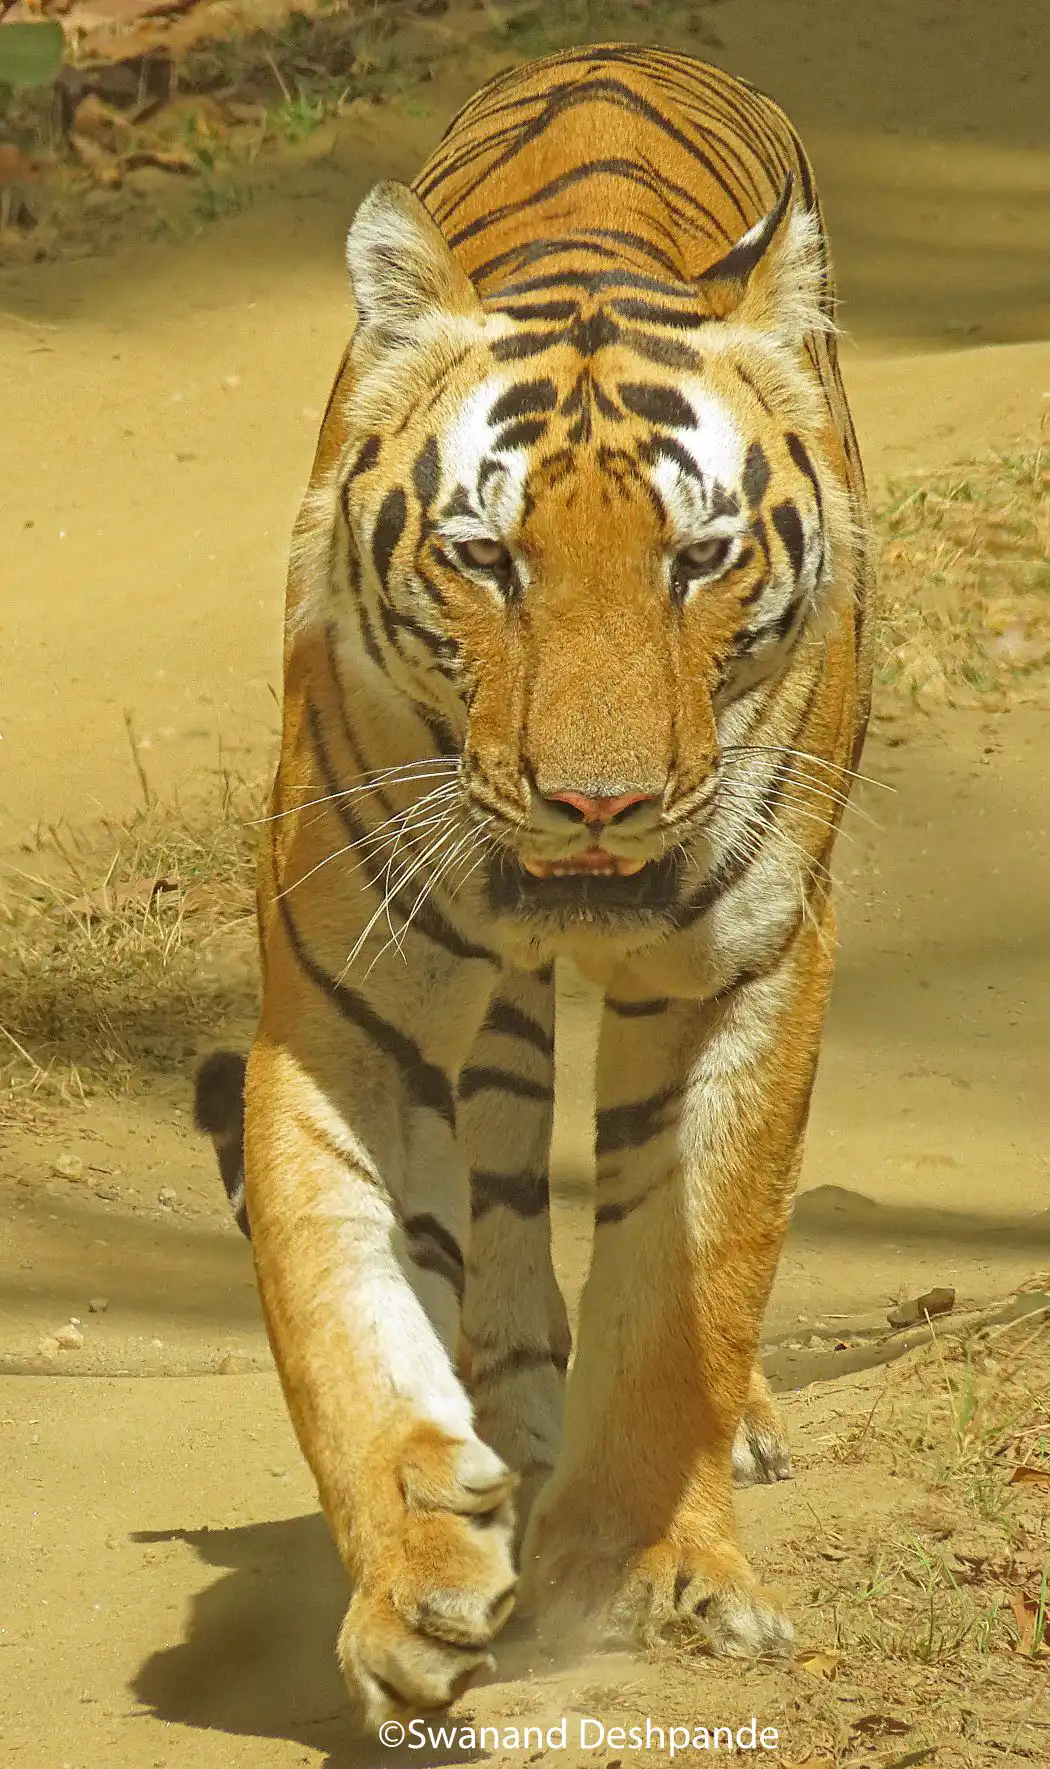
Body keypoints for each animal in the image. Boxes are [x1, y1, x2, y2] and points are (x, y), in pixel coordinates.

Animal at [195, 41, 872, 1733]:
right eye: (485, 560)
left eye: (697, 559)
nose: (596, 803)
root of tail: (612, 52)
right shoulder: (339, 1020)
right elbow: (343, 1318)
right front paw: (416, 1580)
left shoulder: (750, 978)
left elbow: (689, 1292)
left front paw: (645, 1570)